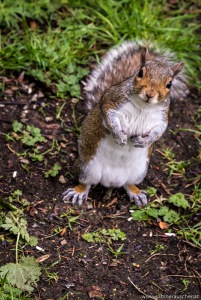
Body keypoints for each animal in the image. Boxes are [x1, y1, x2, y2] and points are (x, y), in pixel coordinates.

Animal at [62, 40, 187, 206]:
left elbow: (159, 131)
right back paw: (78, 192)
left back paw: (136, 193)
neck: (143, 106)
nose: (150, 94)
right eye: (140, 73)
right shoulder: (112, 101)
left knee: (128, 184)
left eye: (169, 84)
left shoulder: (162, 118)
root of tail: (111, 181)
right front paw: (119, 136)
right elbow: (109, 117)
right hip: (86, 167)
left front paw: (145, 140)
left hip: (139, 172)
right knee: (85, 183)